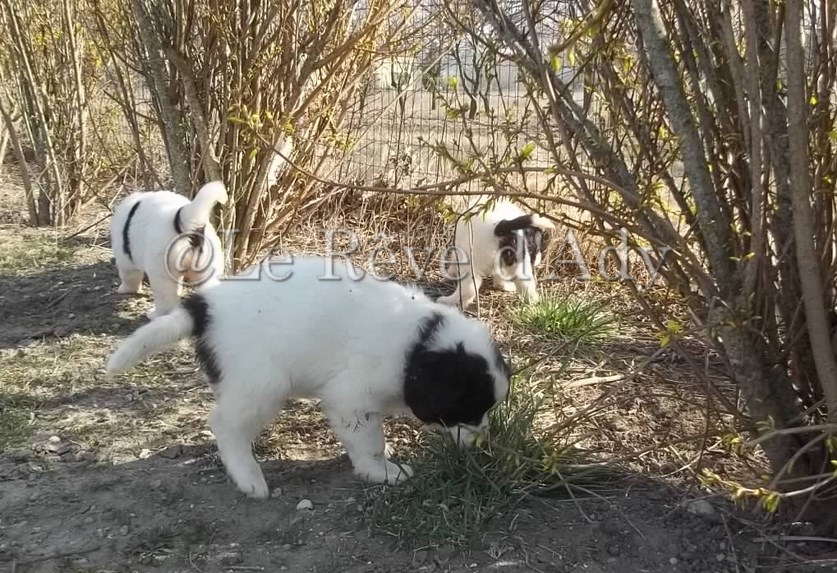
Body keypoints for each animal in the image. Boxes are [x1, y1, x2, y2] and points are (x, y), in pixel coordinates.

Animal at [106, 256, 511, 499]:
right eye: (467, 409)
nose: (482, 444)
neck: (418, 344)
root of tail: (207, 306)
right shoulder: (352, 399)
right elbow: (369, 443)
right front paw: (382, 472)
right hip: (260, 384)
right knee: (224, 425)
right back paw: (249, 477)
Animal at [110, 181, 228, 319]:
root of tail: (183, 220)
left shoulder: (125, 259)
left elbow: (129, 276)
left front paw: (124, 289)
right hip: (209, 265)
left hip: (160, 269)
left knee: (165, 298)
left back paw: (155, 314)